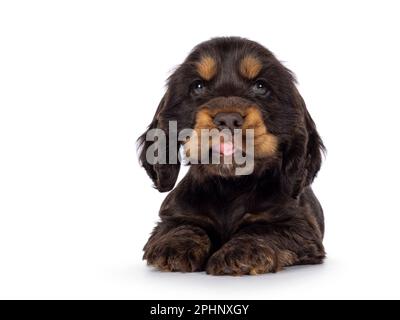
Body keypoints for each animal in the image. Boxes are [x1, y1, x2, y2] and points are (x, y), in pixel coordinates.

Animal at [138, 37, 324, 276]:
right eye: (198, 86)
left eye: (260, 86)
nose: (227, 119)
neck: (230, 185)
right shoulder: (174, 215)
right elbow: (184, 225)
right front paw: (174, 246)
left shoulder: (301, 228)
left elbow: (263, 229)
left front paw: (241, 252)